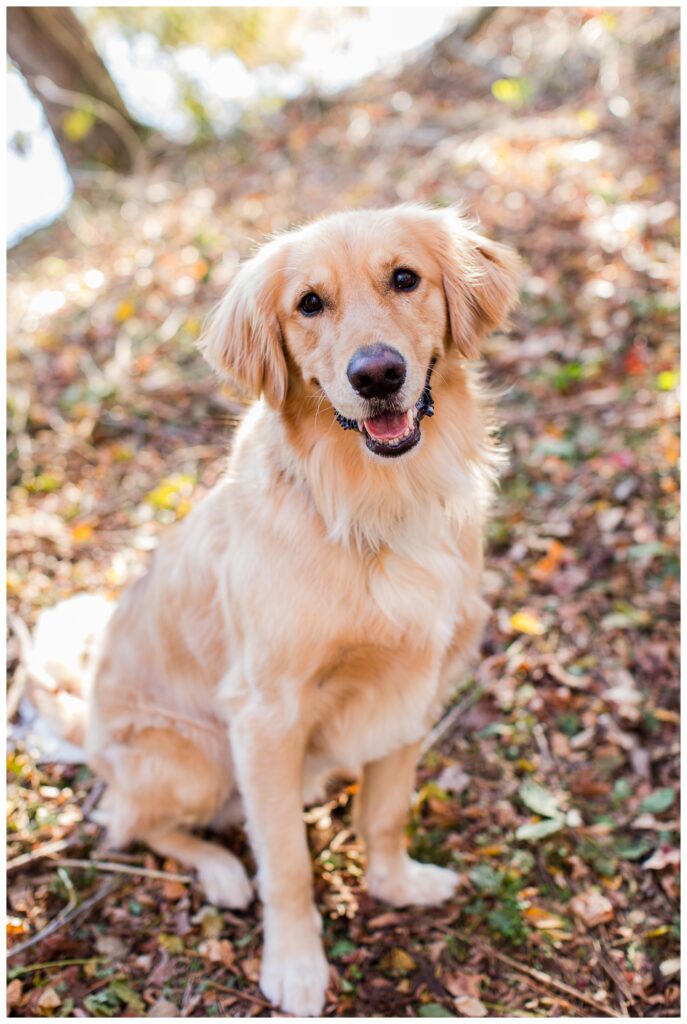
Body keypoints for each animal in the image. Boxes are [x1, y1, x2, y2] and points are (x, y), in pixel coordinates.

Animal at [29, 201, 518, 1015]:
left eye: (405, 279)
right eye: (309, 304)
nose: (377, 374)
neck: (375, 502)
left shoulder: (413, 683)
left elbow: (385, 813)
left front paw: (396, 883)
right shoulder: (265, 714)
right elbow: (285, 859)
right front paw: (294, 964)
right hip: (192, 759)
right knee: (128, 823)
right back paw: (221, 870)